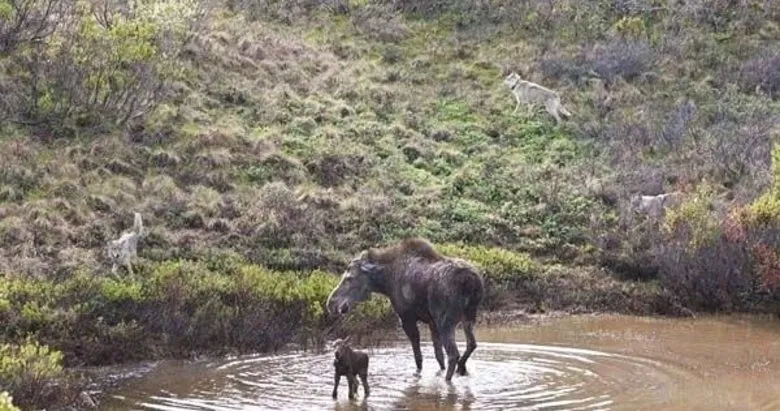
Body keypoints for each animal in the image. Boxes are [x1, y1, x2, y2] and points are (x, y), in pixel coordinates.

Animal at [322, 238, 482, 384]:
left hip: (446, 321)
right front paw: (439, 372)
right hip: (468, 316)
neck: (385, 281)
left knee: (454, 354)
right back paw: (461, 369)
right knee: (471, 344)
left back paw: (448, 380)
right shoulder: (432, 322)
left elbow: (418, 357)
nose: (331, 303)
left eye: (349, 278)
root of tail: (471, 282)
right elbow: (438, 356)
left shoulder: (406, 318)